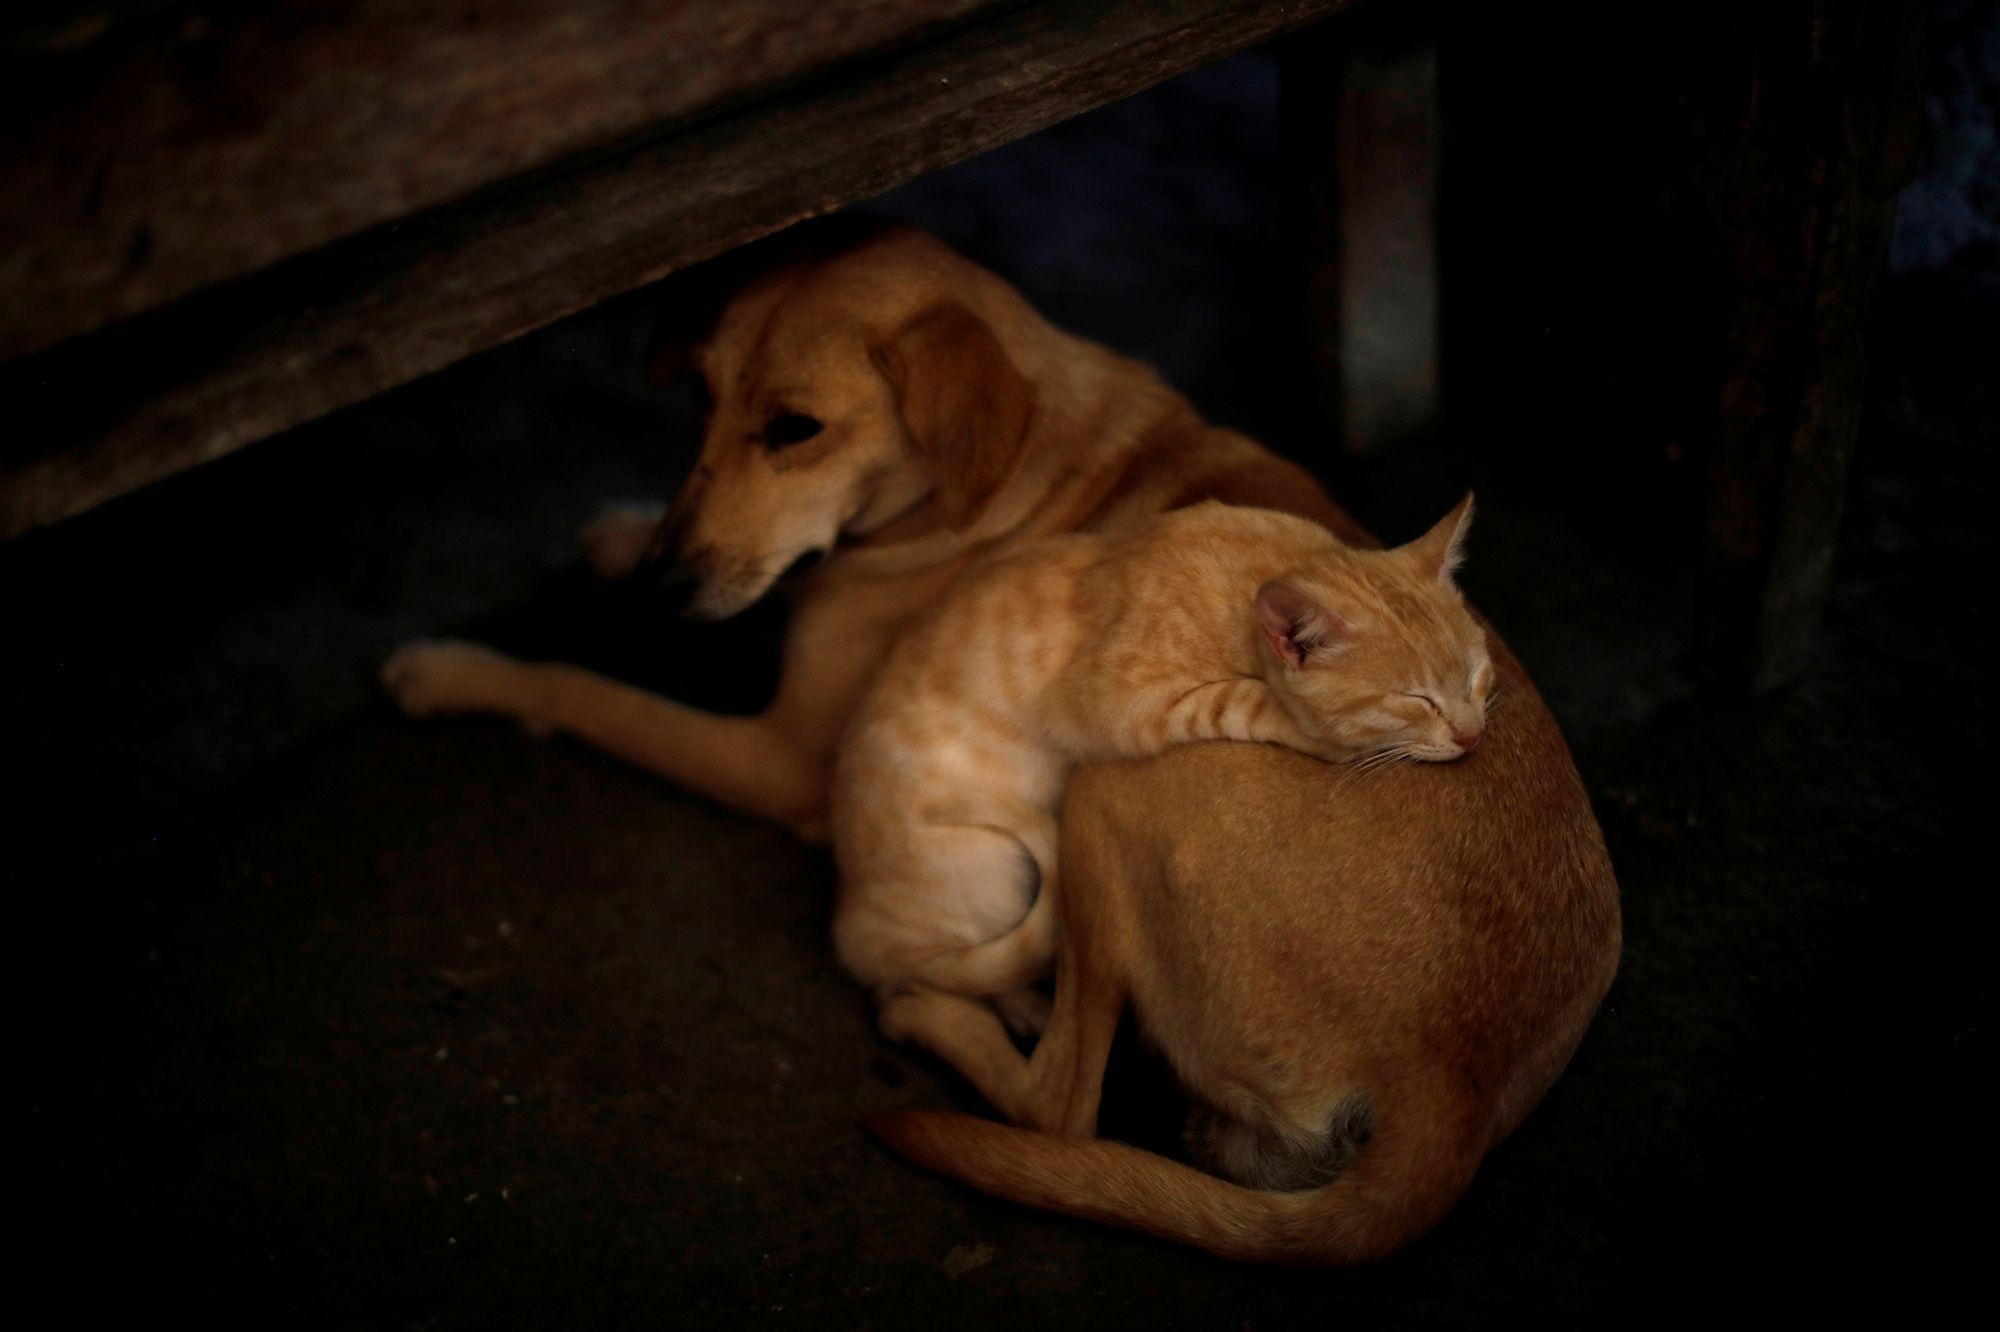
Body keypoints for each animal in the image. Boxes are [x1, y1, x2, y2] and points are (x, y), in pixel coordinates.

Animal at [828, 492, 1488, 1012]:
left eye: (1477, 674)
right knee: (921, 978)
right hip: (990, 870)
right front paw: (1310, 728)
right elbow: (1238, 698)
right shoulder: (1107, 699)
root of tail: (847, 921)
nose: (1472, 736)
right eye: (1416, 699)